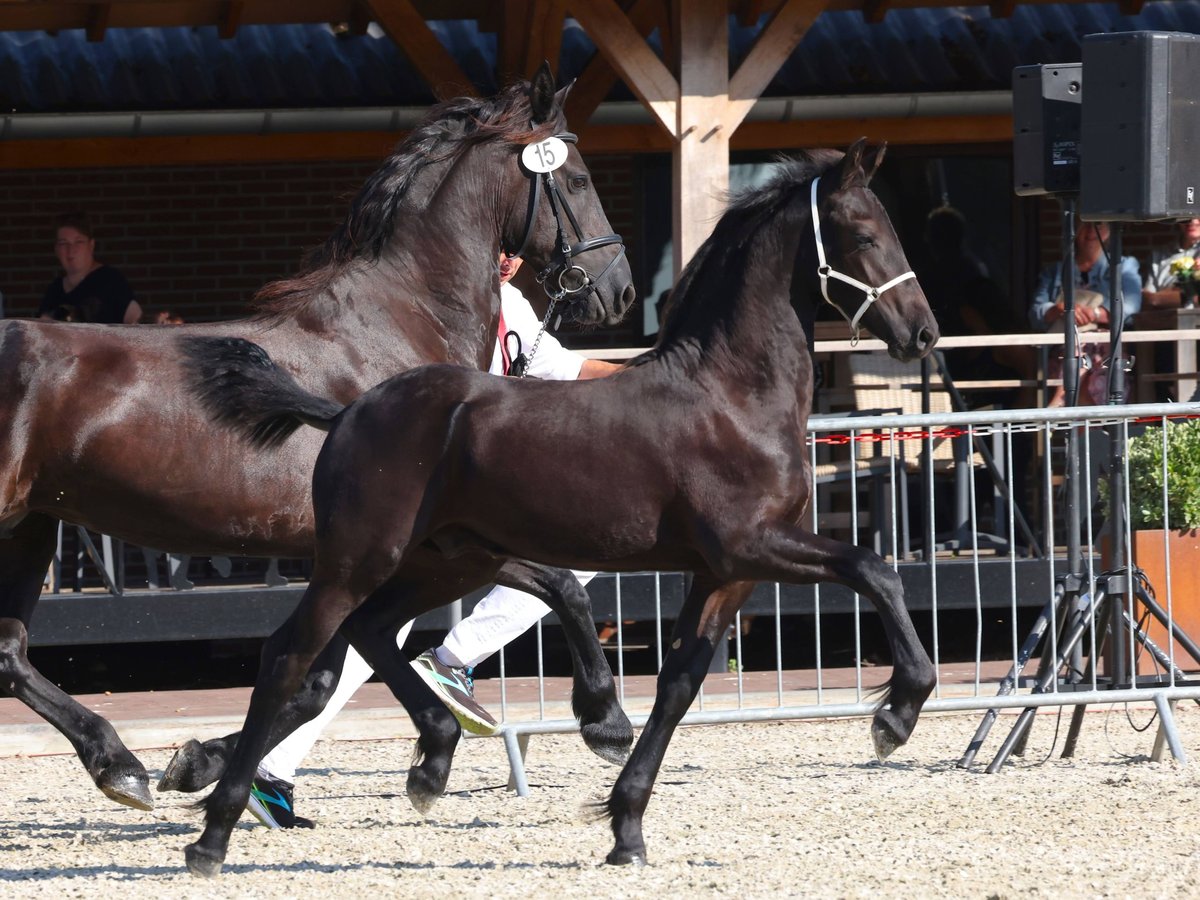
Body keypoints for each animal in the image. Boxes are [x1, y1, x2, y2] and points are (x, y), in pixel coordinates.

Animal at [0, 61, 638, 811]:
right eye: (579, 180)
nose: (620, 291)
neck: (395, 331)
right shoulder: (423, 545)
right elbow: (555, 586)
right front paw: (603, 720)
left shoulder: (410, 549)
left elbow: (325, 675)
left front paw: (201, 762)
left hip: (32, 525)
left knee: (9, 654)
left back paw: (119, 765)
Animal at [182, 141, 940, 883]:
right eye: (864, 235)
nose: (924, 334)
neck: (730, 395)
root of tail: (346, 412)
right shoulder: (752, 544)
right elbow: (875, 567)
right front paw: (897, 713)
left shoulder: (726, 573)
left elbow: (680, 684)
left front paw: (625, 827)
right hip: (359, 557)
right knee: (290, 654)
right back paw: (213, 836)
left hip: (446, 562)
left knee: (369, 634)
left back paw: (432, 758)